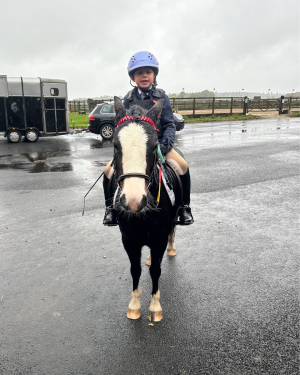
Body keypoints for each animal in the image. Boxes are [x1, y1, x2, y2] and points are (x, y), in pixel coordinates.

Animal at [110, 97, 180, 324]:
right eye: (115, 145)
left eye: (154, 146)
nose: (133, 201)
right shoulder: (129, 240)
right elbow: (136, 270)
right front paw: (134, 306)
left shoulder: (158, 239)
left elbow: (156, 271)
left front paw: (155, 308)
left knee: (173, 231)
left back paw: (172, 248)